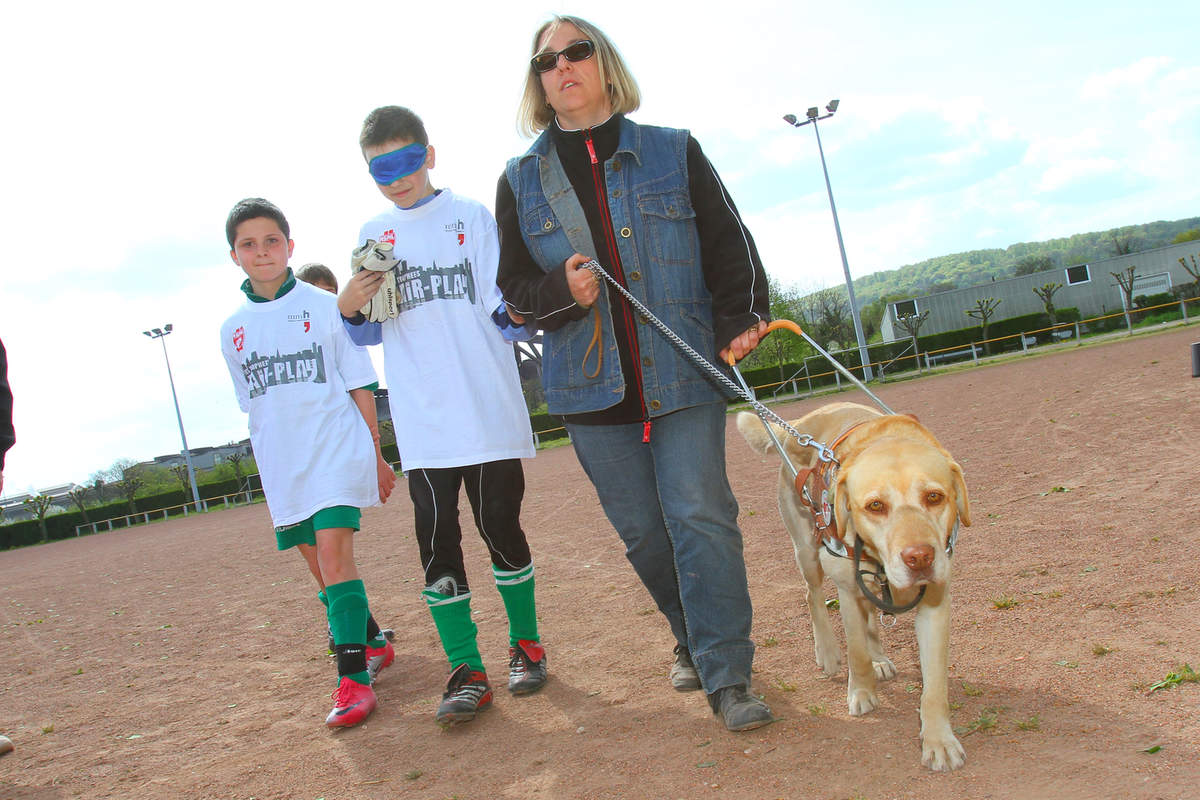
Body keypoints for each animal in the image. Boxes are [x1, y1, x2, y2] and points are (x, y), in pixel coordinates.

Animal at [734, 402, 969, 772]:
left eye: (934, 496)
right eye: (875, 505)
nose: (919, 557)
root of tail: (803, 420)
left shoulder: (935, 601)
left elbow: (934, 683)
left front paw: (939, 741)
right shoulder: (845, 588)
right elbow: (856, 651)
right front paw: (861, 693)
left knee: (871, 613)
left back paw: (880, 659)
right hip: (807, 550)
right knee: (813, 596)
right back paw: (829, 652)